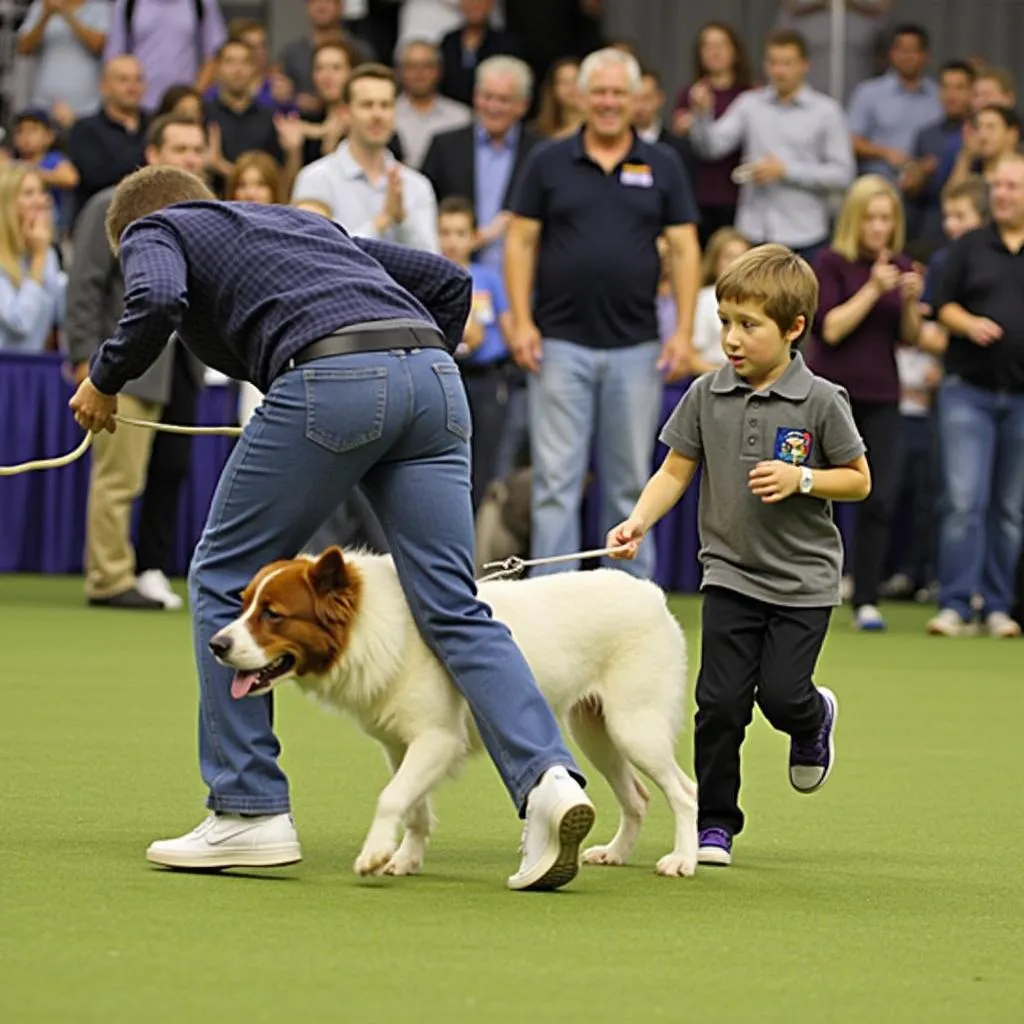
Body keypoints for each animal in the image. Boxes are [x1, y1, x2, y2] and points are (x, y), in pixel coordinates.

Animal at [211, 548, 700, 876]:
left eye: (272, 615)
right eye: (245, 604)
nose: (217, 645)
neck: (368, 625)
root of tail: (651, 594)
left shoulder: (437, 739)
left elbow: (392, 797)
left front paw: (374, 854)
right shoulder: (400, 746)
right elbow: (413, 807)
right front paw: (405, 859)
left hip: (634, 727)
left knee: (684, 792)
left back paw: (683, 860)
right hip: (596, 732)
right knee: (637, 797)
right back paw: (616, 853)